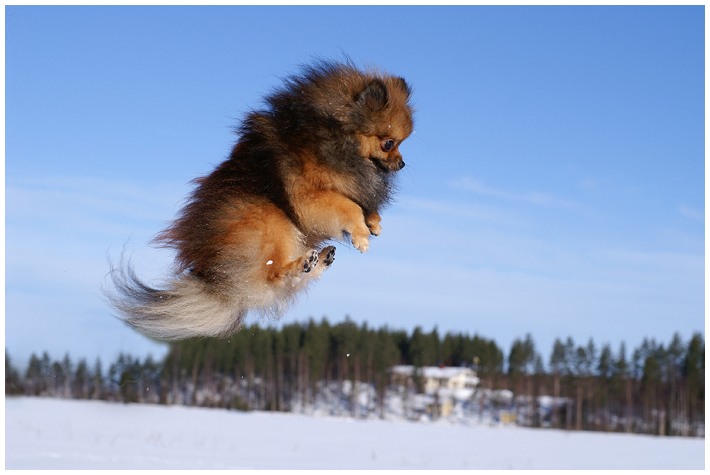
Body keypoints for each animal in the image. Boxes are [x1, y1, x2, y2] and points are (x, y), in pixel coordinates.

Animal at [108, 61, 414, 340]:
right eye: (389, 143)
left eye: (401, 143)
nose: (402, 164)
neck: (334, 134)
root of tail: (215, 281)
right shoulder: (309, 198)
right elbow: (348, 206)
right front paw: (361, 234)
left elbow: (363, 203)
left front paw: (374, 222)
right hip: (270, 219)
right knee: (274, 276)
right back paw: (302, 263)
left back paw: (320, 258)